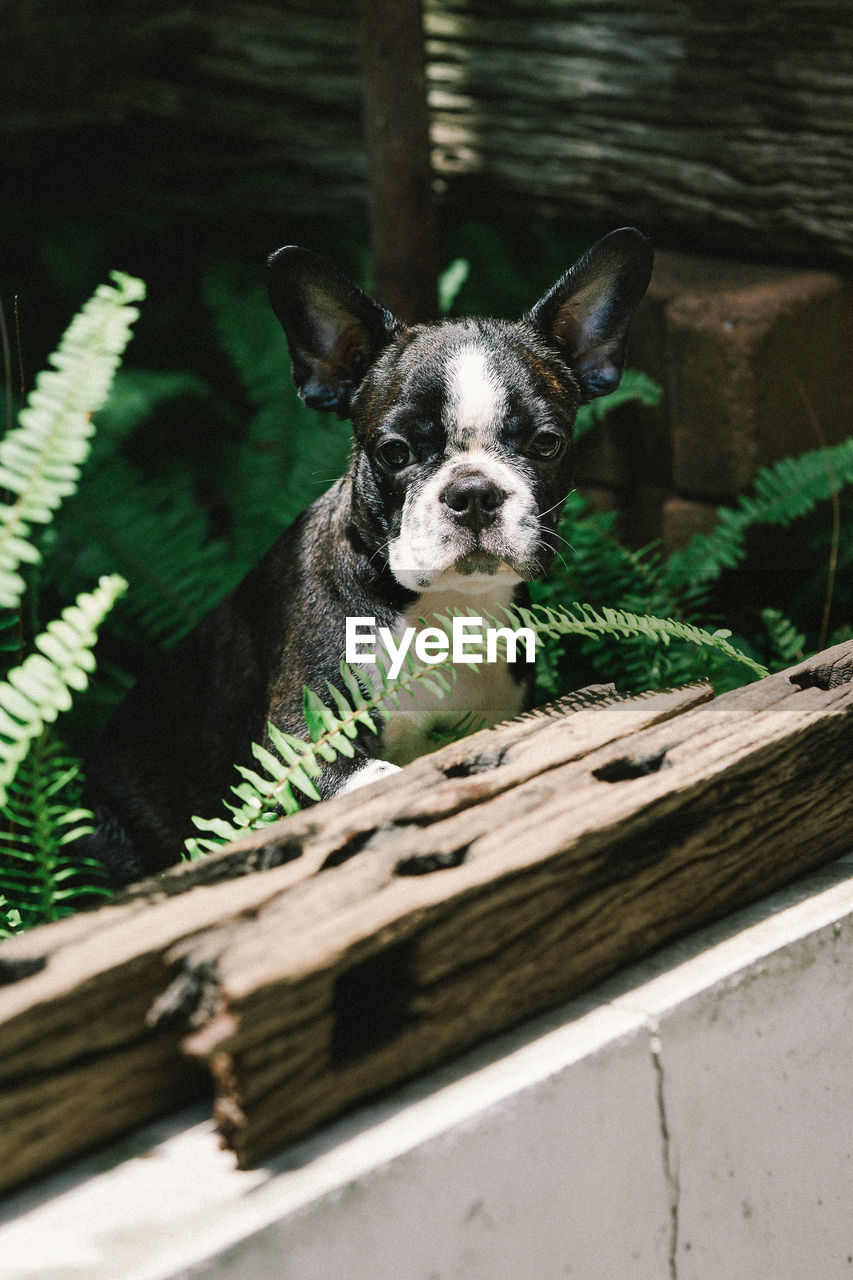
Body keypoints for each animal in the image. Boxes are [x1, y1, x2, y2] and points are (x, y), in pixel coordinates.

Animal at [81, 227, 650, 890]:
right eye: (395, 451)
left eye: (546, 444)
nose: (473, 492)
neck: (443, 608)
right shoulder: (301, 744)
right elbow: (378, 780)